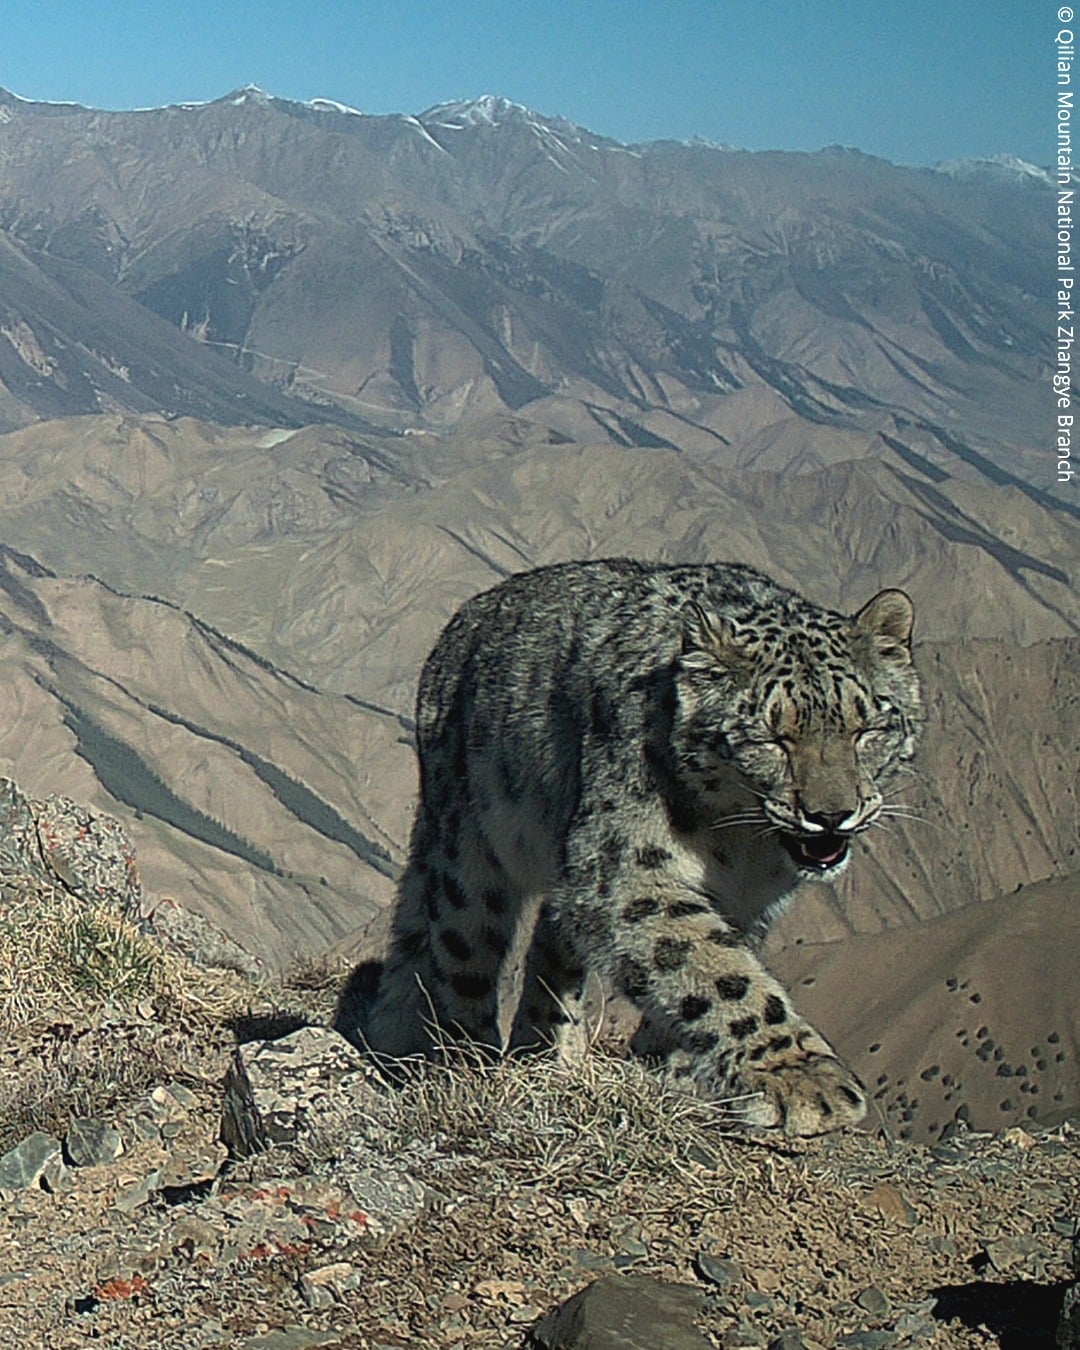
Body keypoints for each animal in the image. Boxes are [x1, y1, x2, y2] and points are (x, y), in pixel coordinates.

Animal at [353, 558, 923, 1137]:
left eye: (866, 728)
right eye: (770, 738)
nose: (830, 815)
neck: (743, 847)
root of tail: (459, 625)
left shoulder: (749, 901)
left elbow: (700, 968)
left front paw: (667, 1073)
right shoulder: (626, 869)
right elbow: (715, 968)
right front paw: (802, 1077)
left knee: (551, 946)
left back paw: (551, 1054)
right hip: (472, 853)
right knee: (461, 948)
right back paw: (470, 1058)